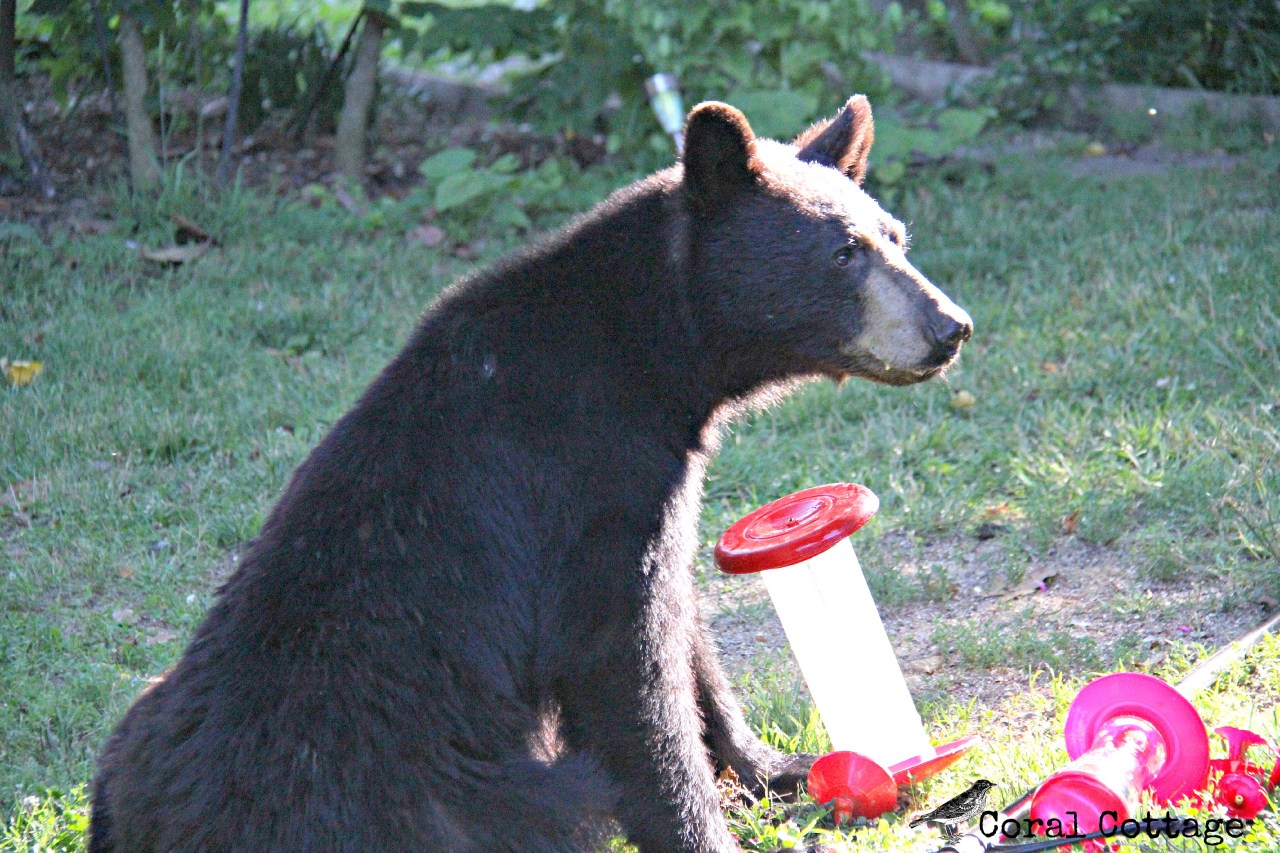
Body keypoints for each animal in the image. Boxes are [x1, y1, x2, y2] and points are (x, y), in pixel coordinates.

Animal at [89, 94, 972, 853]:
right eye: (842, 252)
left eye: (897, 237)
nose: (949, 325)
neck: (642, 352)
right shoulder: (586, 479)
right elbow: (623, 663)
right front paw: (700, 822)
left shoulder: (653, 482)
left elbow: (686, 628)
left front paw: (773, 765)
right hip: (426, 791)